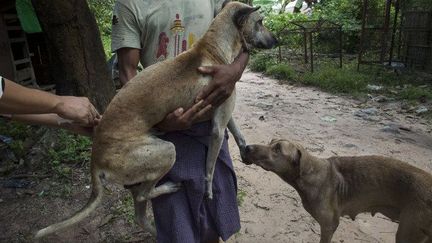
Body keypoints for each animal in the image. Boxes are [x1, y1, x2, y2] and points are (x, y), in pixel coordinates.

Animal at [34, 0, 276, 238]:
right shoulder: (216, 127)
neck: (213, 48)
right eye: (261, 22)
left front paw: (245, 148)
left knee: (139, 211)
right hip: (166, 152)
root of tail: (95, 157)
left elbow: (237, 131)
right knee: (143, 194)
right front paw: (208, 190)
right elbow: (210, 166)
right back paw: (167, 189)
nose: (277, 40)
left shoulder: (224, 104)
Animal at [241, 139, 432, 243]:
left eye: (277, 149)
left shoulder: (329, 225)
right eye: (270, 142)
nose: (247, 147)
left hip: (407, 233)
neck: (310, 174)